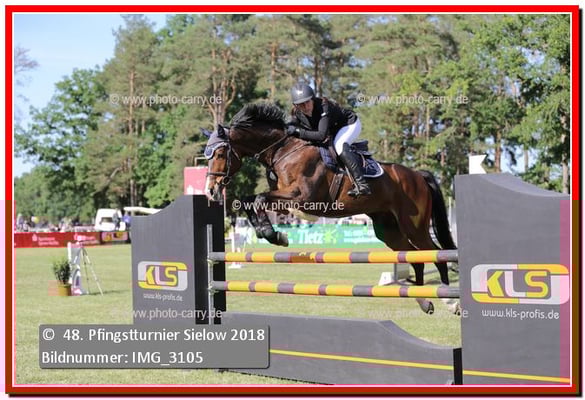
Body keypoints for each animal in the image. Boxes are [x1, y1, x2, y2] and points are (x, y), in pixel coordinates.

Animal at [203, 103, 459, 314]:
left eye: (220, 153)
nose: (211, 190)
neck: (283, 151)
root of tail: (418, 175)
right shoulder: (285, 202)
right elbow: (249, 200)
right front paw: (271, 234)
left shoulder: (300, 197)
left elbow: (257, 199)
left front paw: (273, 235)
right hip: (389, 230)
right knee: (416, 258)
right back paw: (425, 302)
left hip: (414, 226)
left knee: (436, 254)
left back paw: (450, 301)